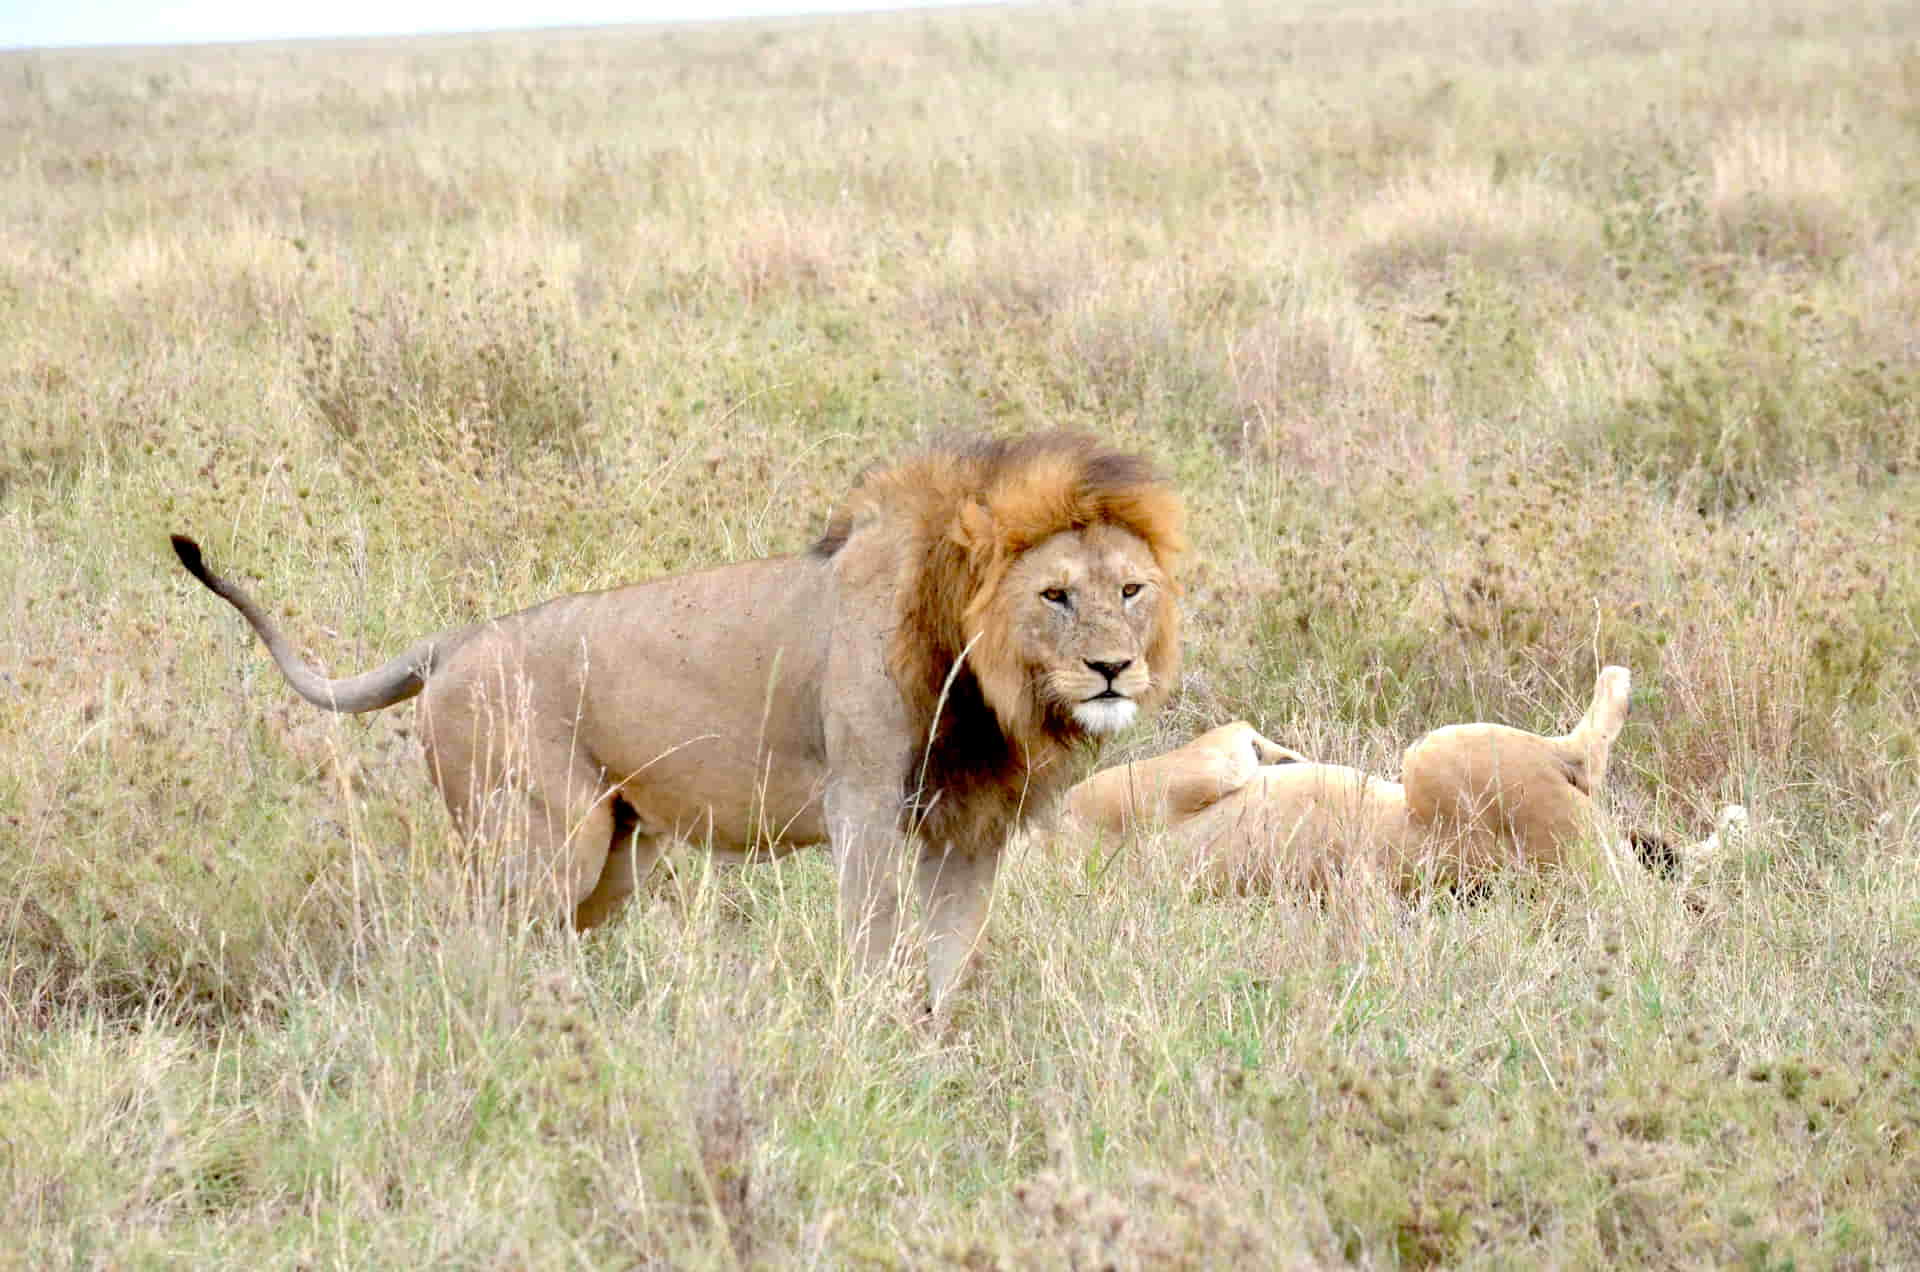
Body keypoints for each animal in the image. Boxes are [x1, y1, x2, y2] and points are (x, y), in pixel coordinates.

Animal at [173, 432, 1184, 1013]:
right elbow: (876, 946)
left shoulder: (967, 831)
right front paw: (876, 1038)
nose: (1111, 668)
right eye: (1056, 595)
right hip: (542, 839)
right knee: (470, 943)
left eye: (1131, 590)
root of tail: (454, 642)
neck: (986, 675)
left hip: (615, 856)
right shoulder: (863, 808)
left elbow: (950, 957)